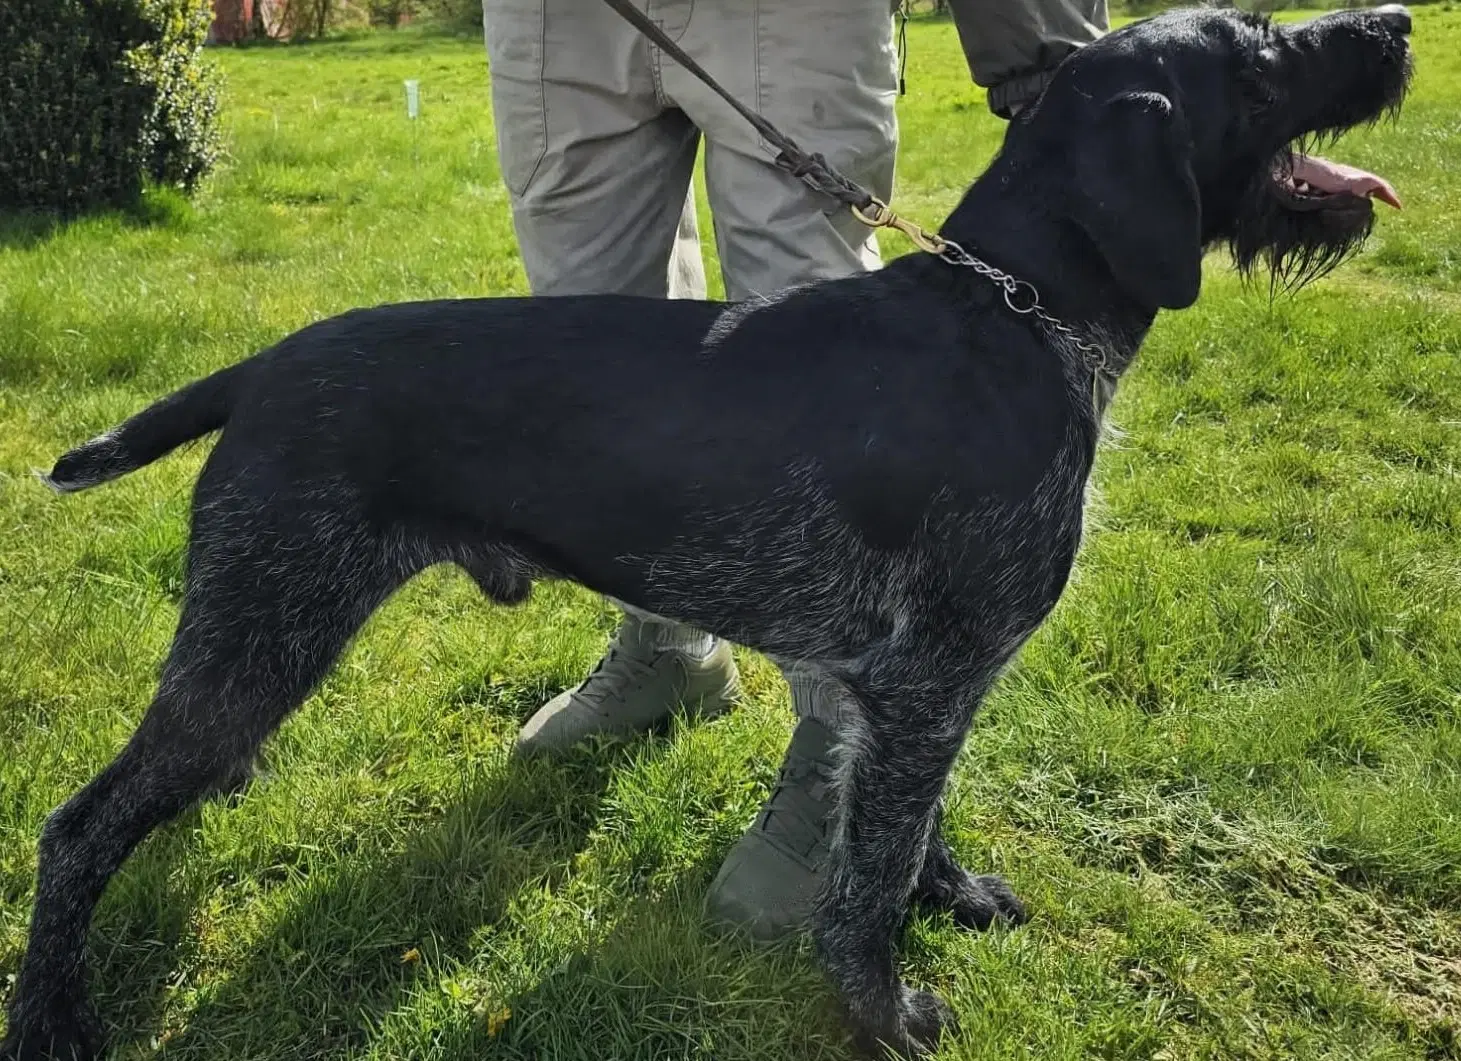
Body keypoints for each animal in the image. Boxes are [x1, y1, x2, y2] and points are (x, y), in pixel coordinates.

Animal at [0, 4, 1414, 1058]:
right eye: (1259, 50)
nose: (1398, 22)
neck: (1017, 315)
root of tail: (266, 366)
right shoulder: (931, 674)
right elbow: (866, 882)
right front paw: (885, 1011)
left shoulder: (917, 687)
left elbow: (906, 829)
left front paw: (951, 895)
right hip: (263, 626)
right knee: (77, 828)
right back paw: (52, 1014)